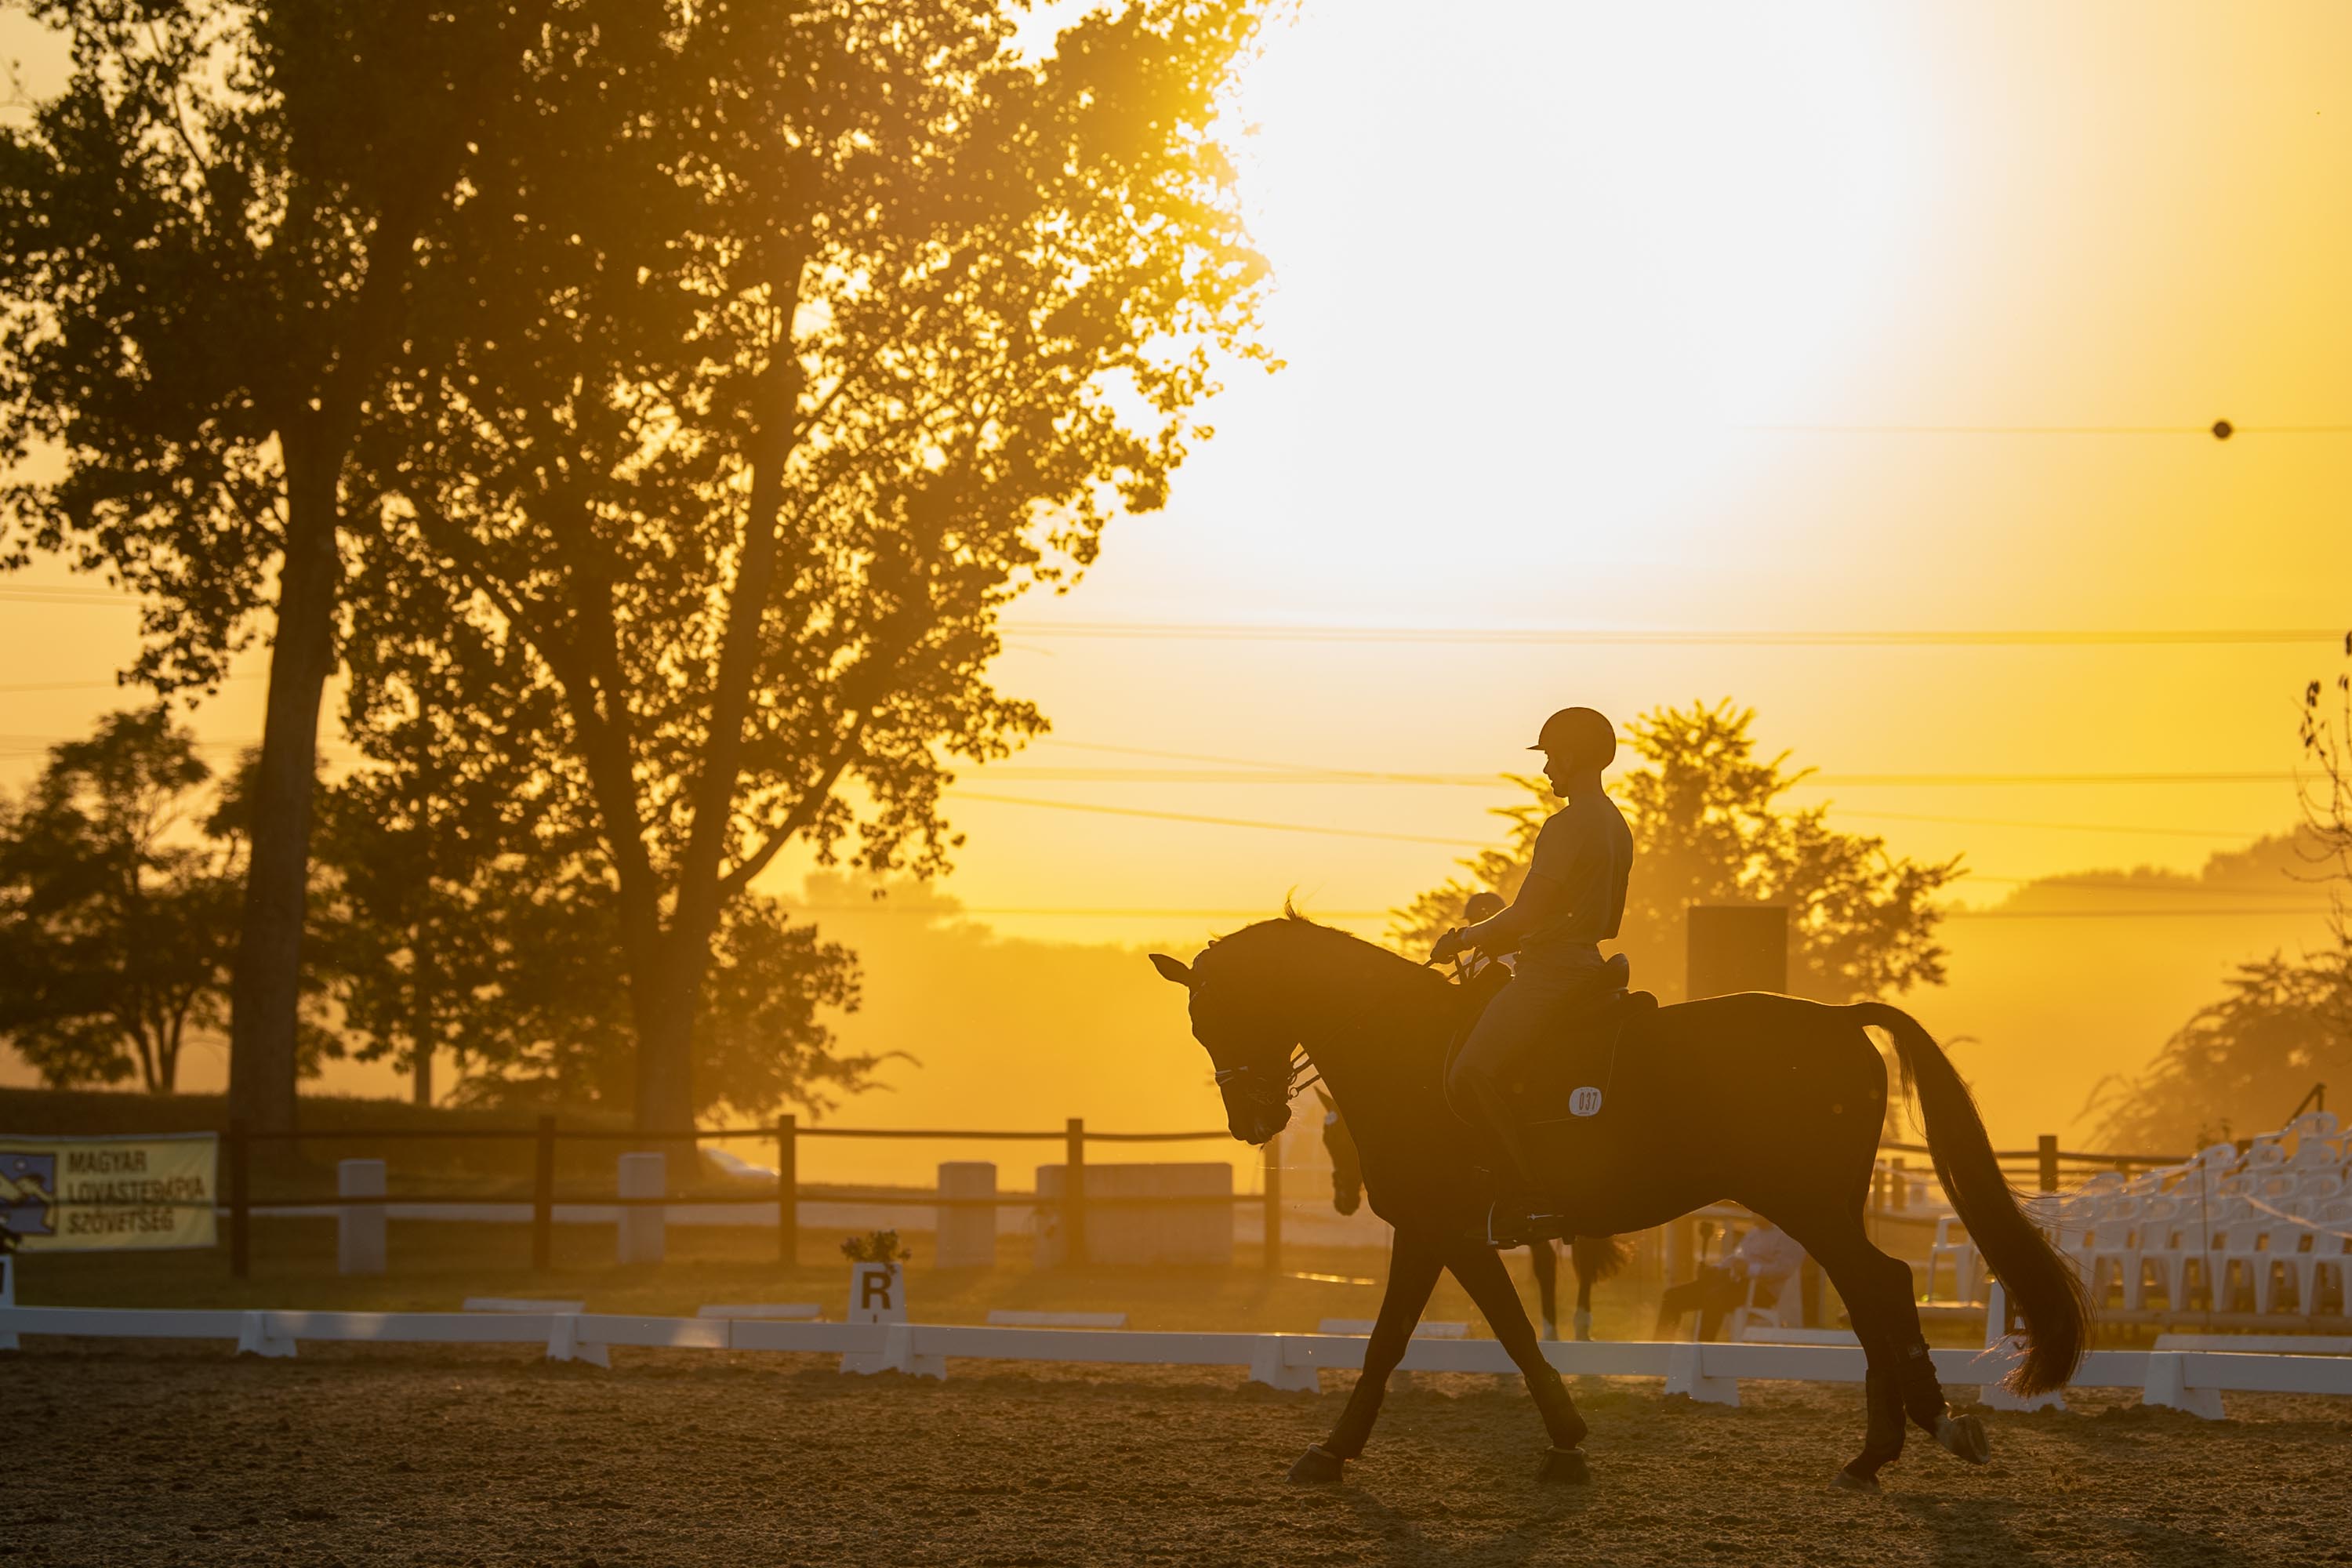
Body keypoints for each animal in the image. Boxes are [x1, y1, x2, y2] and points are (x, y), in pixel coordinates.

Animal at [1314, 1085, 1627, 1342]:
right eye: (1326, 1140)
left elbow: (1544, 1266)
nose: (1343, 1202)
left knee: (1584, 1260)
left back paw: (1581, 1325)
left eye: (1342, 1140)